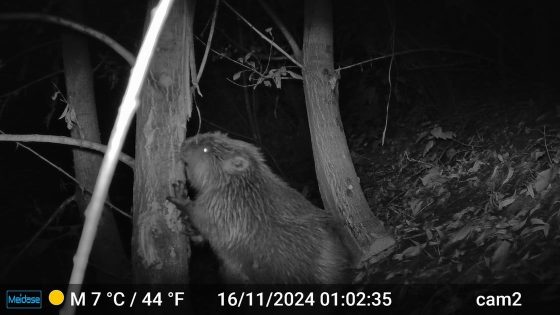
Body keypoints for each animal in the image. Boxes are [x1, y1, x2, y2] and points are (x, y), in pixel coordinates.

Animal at [166, 132, 352, 286]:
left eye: (205, 149)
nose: (183, 144)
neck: (241, 185)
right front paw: (190, 230)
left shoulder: (226, 206)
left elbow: (204, 219)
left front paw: (179, 195)